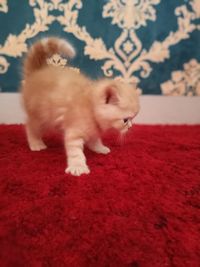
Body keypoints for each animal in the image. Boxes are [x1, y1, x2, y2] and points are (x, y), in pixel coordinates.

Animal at [20, 37, 139, 176]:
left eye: (133, 118)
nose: (130, 127)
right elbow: (76, 152)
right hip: (41, 117)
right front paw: (78, 167)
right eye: (125, 120)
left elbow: (94, 139)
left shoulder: (93, 130)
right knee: (30, 127)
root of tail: (36, 73)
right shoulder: (73, 133)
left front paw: (99, 148)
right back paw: (36, 143)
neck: (90, 107)